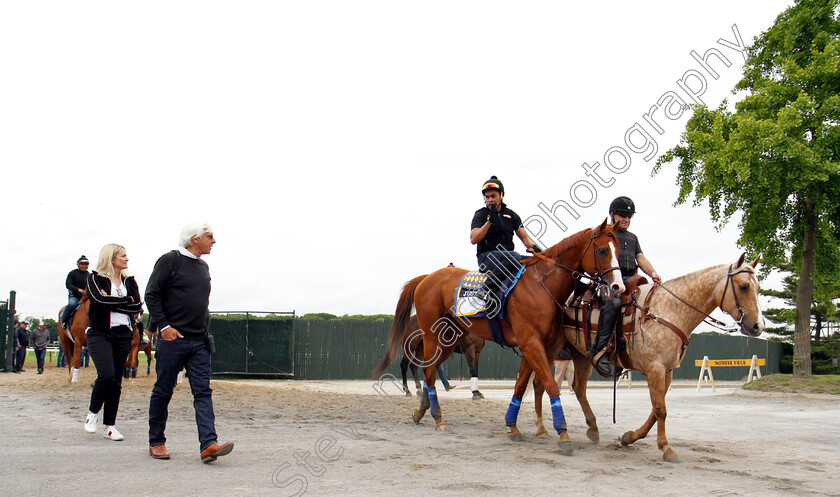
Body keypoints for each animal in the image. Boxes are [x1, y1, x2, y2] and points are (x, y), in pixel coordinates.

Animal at [374, 219, 624, 452]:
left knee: (431, 370)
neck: (541, 283)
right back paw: (436, 416)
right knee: (426, 370)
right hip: (431, 338)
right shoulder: (531, 344)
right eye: (603, 250)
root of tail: (427, 277)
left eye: (619, 250)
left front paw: (513, 426)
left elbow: (521, 386)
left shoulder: (534, 347)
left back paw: (421, 412)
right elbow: (551, 384)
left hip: (447, 342)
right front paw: (562, 433)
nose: (618, 287)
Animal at [532, 256, 768, 462]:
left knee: (578, 388)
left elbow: (656, 409)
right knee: (540, 384)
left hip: (581, 355)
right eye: (743, 286)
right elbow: (661, 410)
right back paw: (543, 429)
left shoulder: (667, 371)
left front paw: (630, 437)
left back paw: (592, 428)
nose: (758, 326)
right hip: (550, 348)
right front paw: (666, 448)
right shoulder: (655, 369)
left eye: (758, 289)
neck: (669, 310)